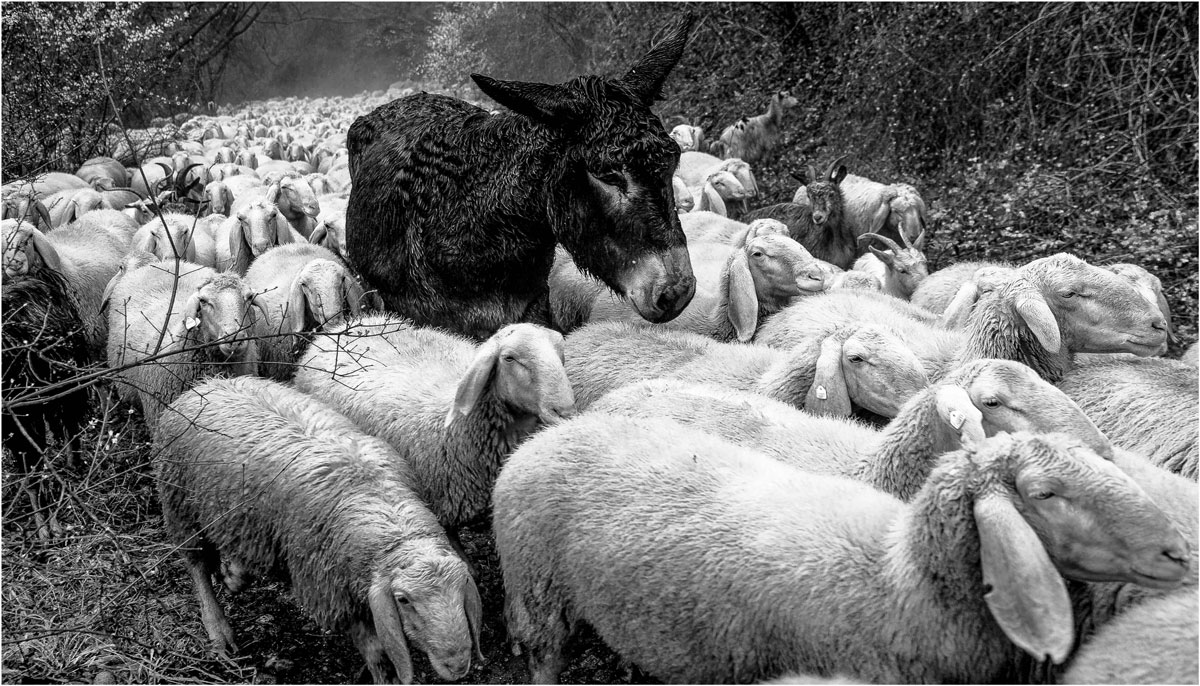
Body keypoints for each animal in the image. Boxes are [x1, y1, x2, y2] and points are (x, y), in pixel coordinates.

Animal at [155, 377, 482, 683]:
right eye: (403, 600)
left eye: (461, 587)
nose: (457, 665)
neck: (384, 508)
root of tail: (206, 384)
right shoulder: (331, 586)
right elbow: (376, 651)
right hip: (179, 502)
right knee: (197, 565)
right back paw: (218, 631)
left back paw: (233, 574)